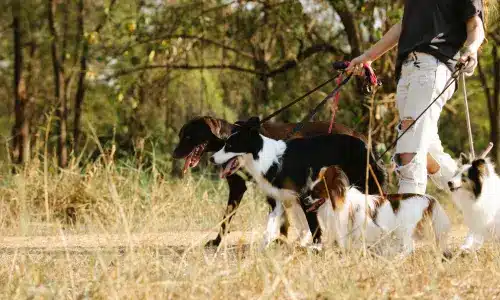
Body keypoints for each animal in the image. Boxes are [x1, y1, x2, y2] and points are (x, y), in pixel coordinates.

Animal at [173, 115, 368, 246]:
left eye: (189, 136)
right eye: (180, 135)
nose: (174, 154)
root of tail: (357, 134)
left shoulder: (254, 188)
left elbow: (227, 218)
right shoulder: (255, 188)